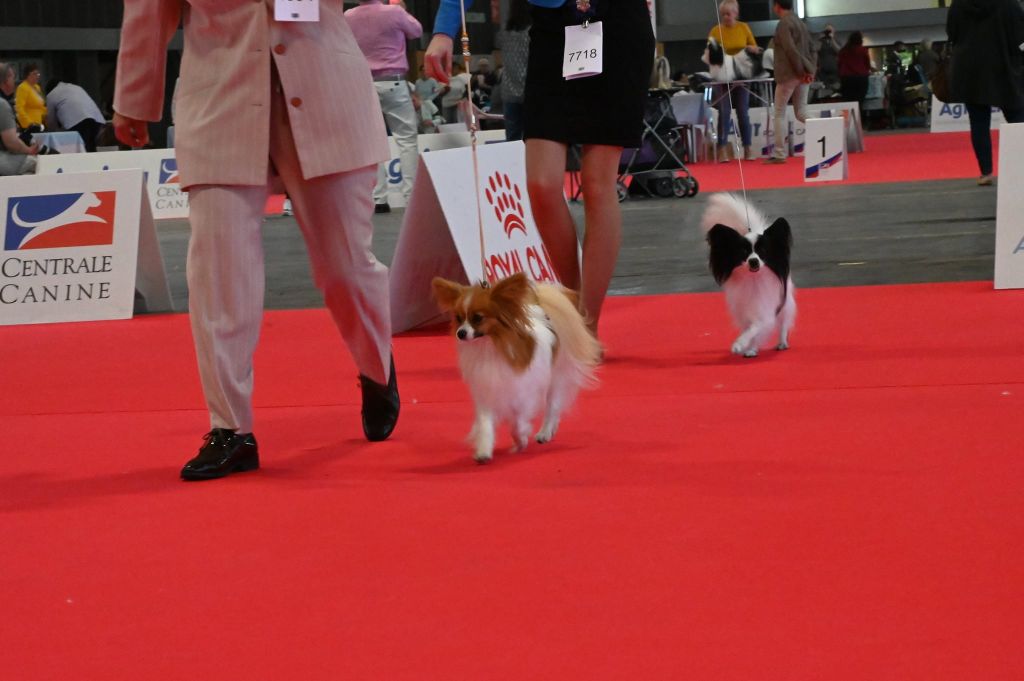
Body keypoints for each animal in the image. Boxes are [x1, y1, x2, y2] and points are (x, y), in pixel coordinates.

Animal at [430, 274, 598, 464]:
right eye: (458, 318)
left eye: (478, 318)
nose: (461, 333)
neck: (491, 346)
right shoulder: (486, 390)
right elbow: (486, 422)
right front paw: (484, 450)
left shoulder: (522, 393)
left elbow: (518, 422)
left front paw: (521, 439)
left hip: (556, 378)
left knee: (552, 406)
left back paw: (545, 432)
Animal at [700, 191, 794, 356]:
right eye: (743, 252)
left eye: (763, 251)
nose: (754, 261)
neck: (753, 279)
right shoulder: (743, 311)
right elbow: (749, 329)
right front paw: (750, 349)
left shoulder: (764, 313)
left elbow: (755, 328)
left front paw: (740, 344)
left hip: (786, 300)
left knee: (783, 320)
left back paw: (782, 342)